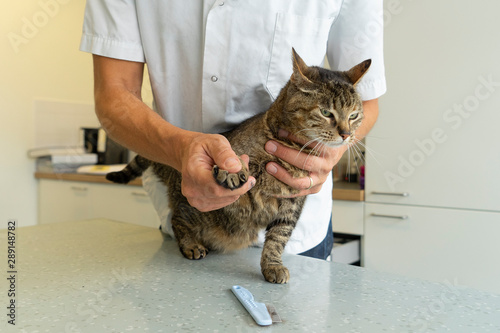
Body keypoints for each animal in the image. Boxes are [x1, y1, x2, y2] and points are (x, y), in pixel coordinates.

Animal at [106, 49, 372, 282]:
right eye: (326, 112)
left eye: (354, 115)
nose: (346, 134)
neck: (294, 148)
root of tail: (173, 173)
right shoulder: (235, 148)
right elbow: (234, 155)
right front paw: (232, 170)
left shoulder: (292, 204)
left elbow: (278, 238)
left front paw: (272, 266)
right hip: (194, 210)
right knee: (177, 219)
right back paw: (191, 245)